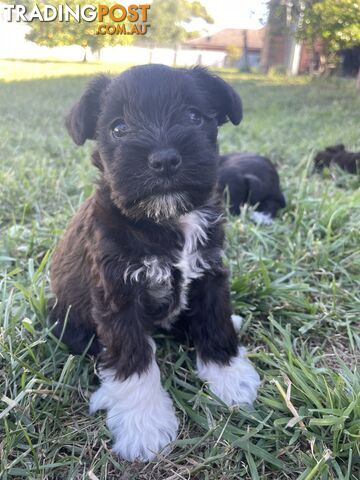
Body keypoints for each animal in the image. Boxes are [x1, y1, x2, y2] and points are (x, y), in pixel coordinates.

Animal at [49, 64, 260, 462]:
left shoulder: (209, 273)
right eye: (118, 128)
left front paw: (230, 375)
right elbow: (132, 358)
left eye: (194, 117)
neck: (164, 220)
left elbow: (215, 321)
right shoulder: (119, 297)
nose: (164, 159)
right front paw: (142, 424)